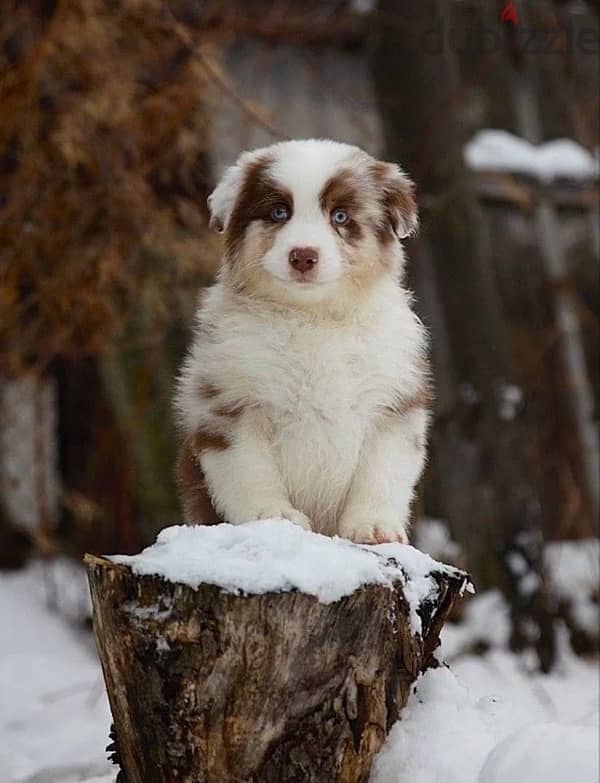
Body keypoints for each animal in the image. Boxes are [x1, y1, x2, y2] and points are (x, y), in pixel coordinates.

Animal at [173, 139, 432, 544]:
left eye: (340, 217)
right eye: (279, 212)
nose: (303, 256)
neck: (314, 318)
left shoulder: (393, 403)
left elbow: (382, 472)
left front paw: (373, 526)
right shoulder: (230, 402)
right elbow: (249, 469)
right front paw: (272, 515)